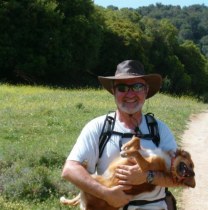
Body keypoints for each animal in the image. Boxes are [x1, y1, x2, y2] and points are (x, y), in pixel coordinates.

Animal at [60, 135, 195, 209]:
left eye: (192, 168)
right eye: (191, 165)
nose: (192, 174)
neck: (169, 165)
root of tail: (89, 205)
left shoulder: (145, 166)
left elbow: (135, 153)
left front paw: (126, 152)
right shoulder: (144, 150)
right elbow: (137, 140)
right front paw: (127, 145)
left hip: (93, 181)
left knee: (80, 192)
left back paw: (84, 164)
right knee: (76, 198)